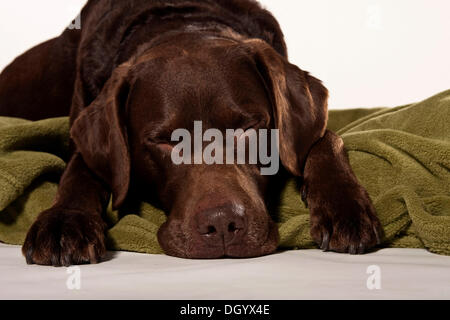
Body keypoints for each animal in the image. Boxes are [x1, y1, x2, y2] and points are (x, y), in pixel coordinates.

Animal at [0, 0, 384, 264]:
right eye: (165, 141)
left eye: (248, 128)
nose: (223, 224)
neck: (181, 20)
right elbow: (79, 171)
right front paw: (64, 223)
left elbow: (325, 138)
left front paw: (345, 208)